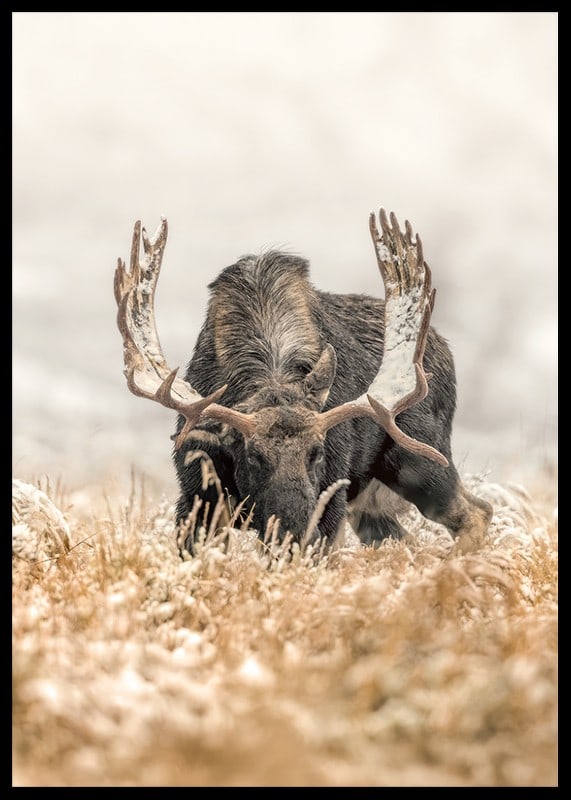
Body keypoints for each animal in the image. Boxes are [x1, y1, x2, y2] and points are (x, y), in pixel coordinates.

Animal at [114, 209, 493, 557]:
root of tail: (444, 349)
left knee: (477, 512)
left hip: (421, 461)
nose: (295, 529)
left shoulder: (332, 499)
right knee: (407, 540)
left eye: (317, 452)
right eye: (253, 456)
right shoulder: (198, 496)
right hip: (373, 503)